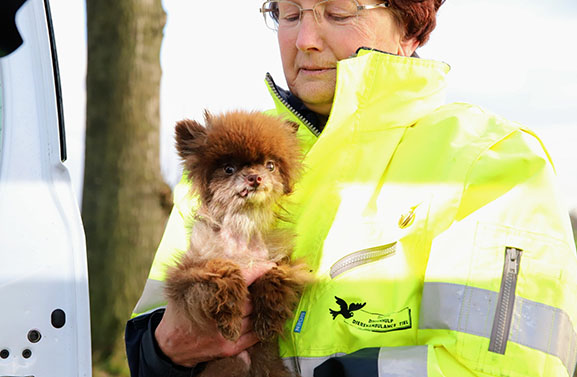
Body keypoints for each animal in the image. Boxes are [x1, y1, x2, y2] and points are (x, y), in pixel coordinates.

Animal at [164, 110, 308, 374]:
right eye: (228, 169)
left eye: (271, 165)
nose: (255, 177)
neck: (243, 229)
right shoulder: (188, 276)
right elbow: (222, 269)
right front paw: (230, 316)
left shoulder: (281, 262)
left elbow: (274, 274)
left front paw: (267, 319)